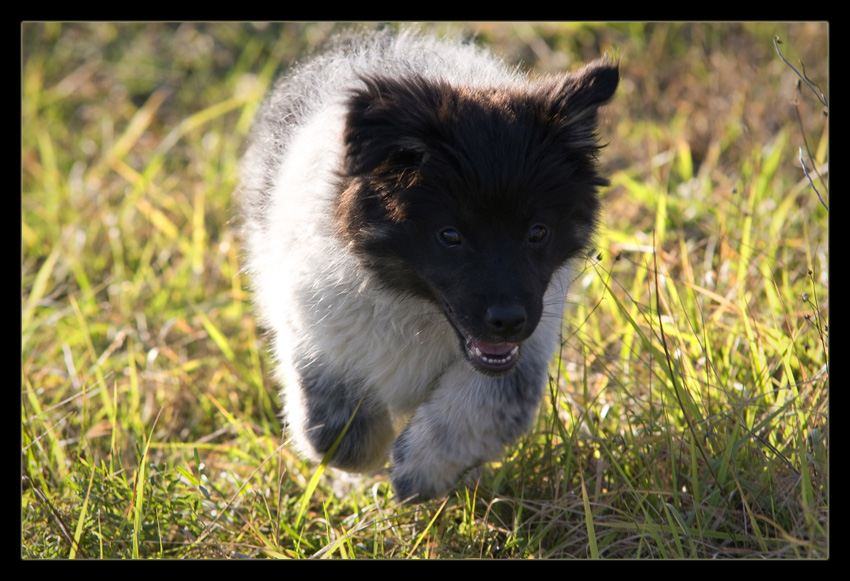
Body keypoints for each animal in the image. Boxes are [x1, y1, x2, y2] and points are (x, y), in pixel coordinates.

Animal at [238, 27, 616, 500]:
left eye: (537, 232)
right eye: (449, 236)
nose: (508, 321)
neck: (414, 308)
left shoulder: (525, 345)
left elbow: (482, 413)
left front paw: (420, 472)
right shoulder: (315, 333)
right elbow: (336, 434)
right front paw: (370, 466)